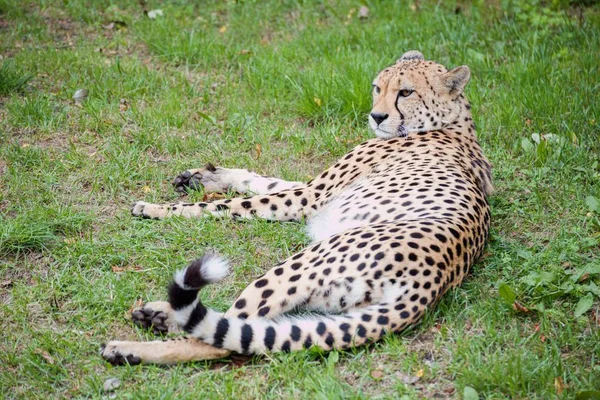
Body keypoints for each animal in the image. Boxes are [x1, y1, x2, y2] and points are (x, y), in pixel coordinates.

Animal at [99, 50, 492, 366]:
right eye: (377, 87)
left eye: (406, 92)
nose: (376, 116)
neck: (453, 123)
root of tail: (433, 283)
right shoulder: (311, 191)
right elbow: (263, 181)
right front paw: (206, 177)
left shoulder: (309, 197)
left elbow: (233, 205)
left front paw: (159, 209)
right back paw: (158, 314)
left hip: (300, 265)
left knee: (225, 337)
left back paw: (130, 348)